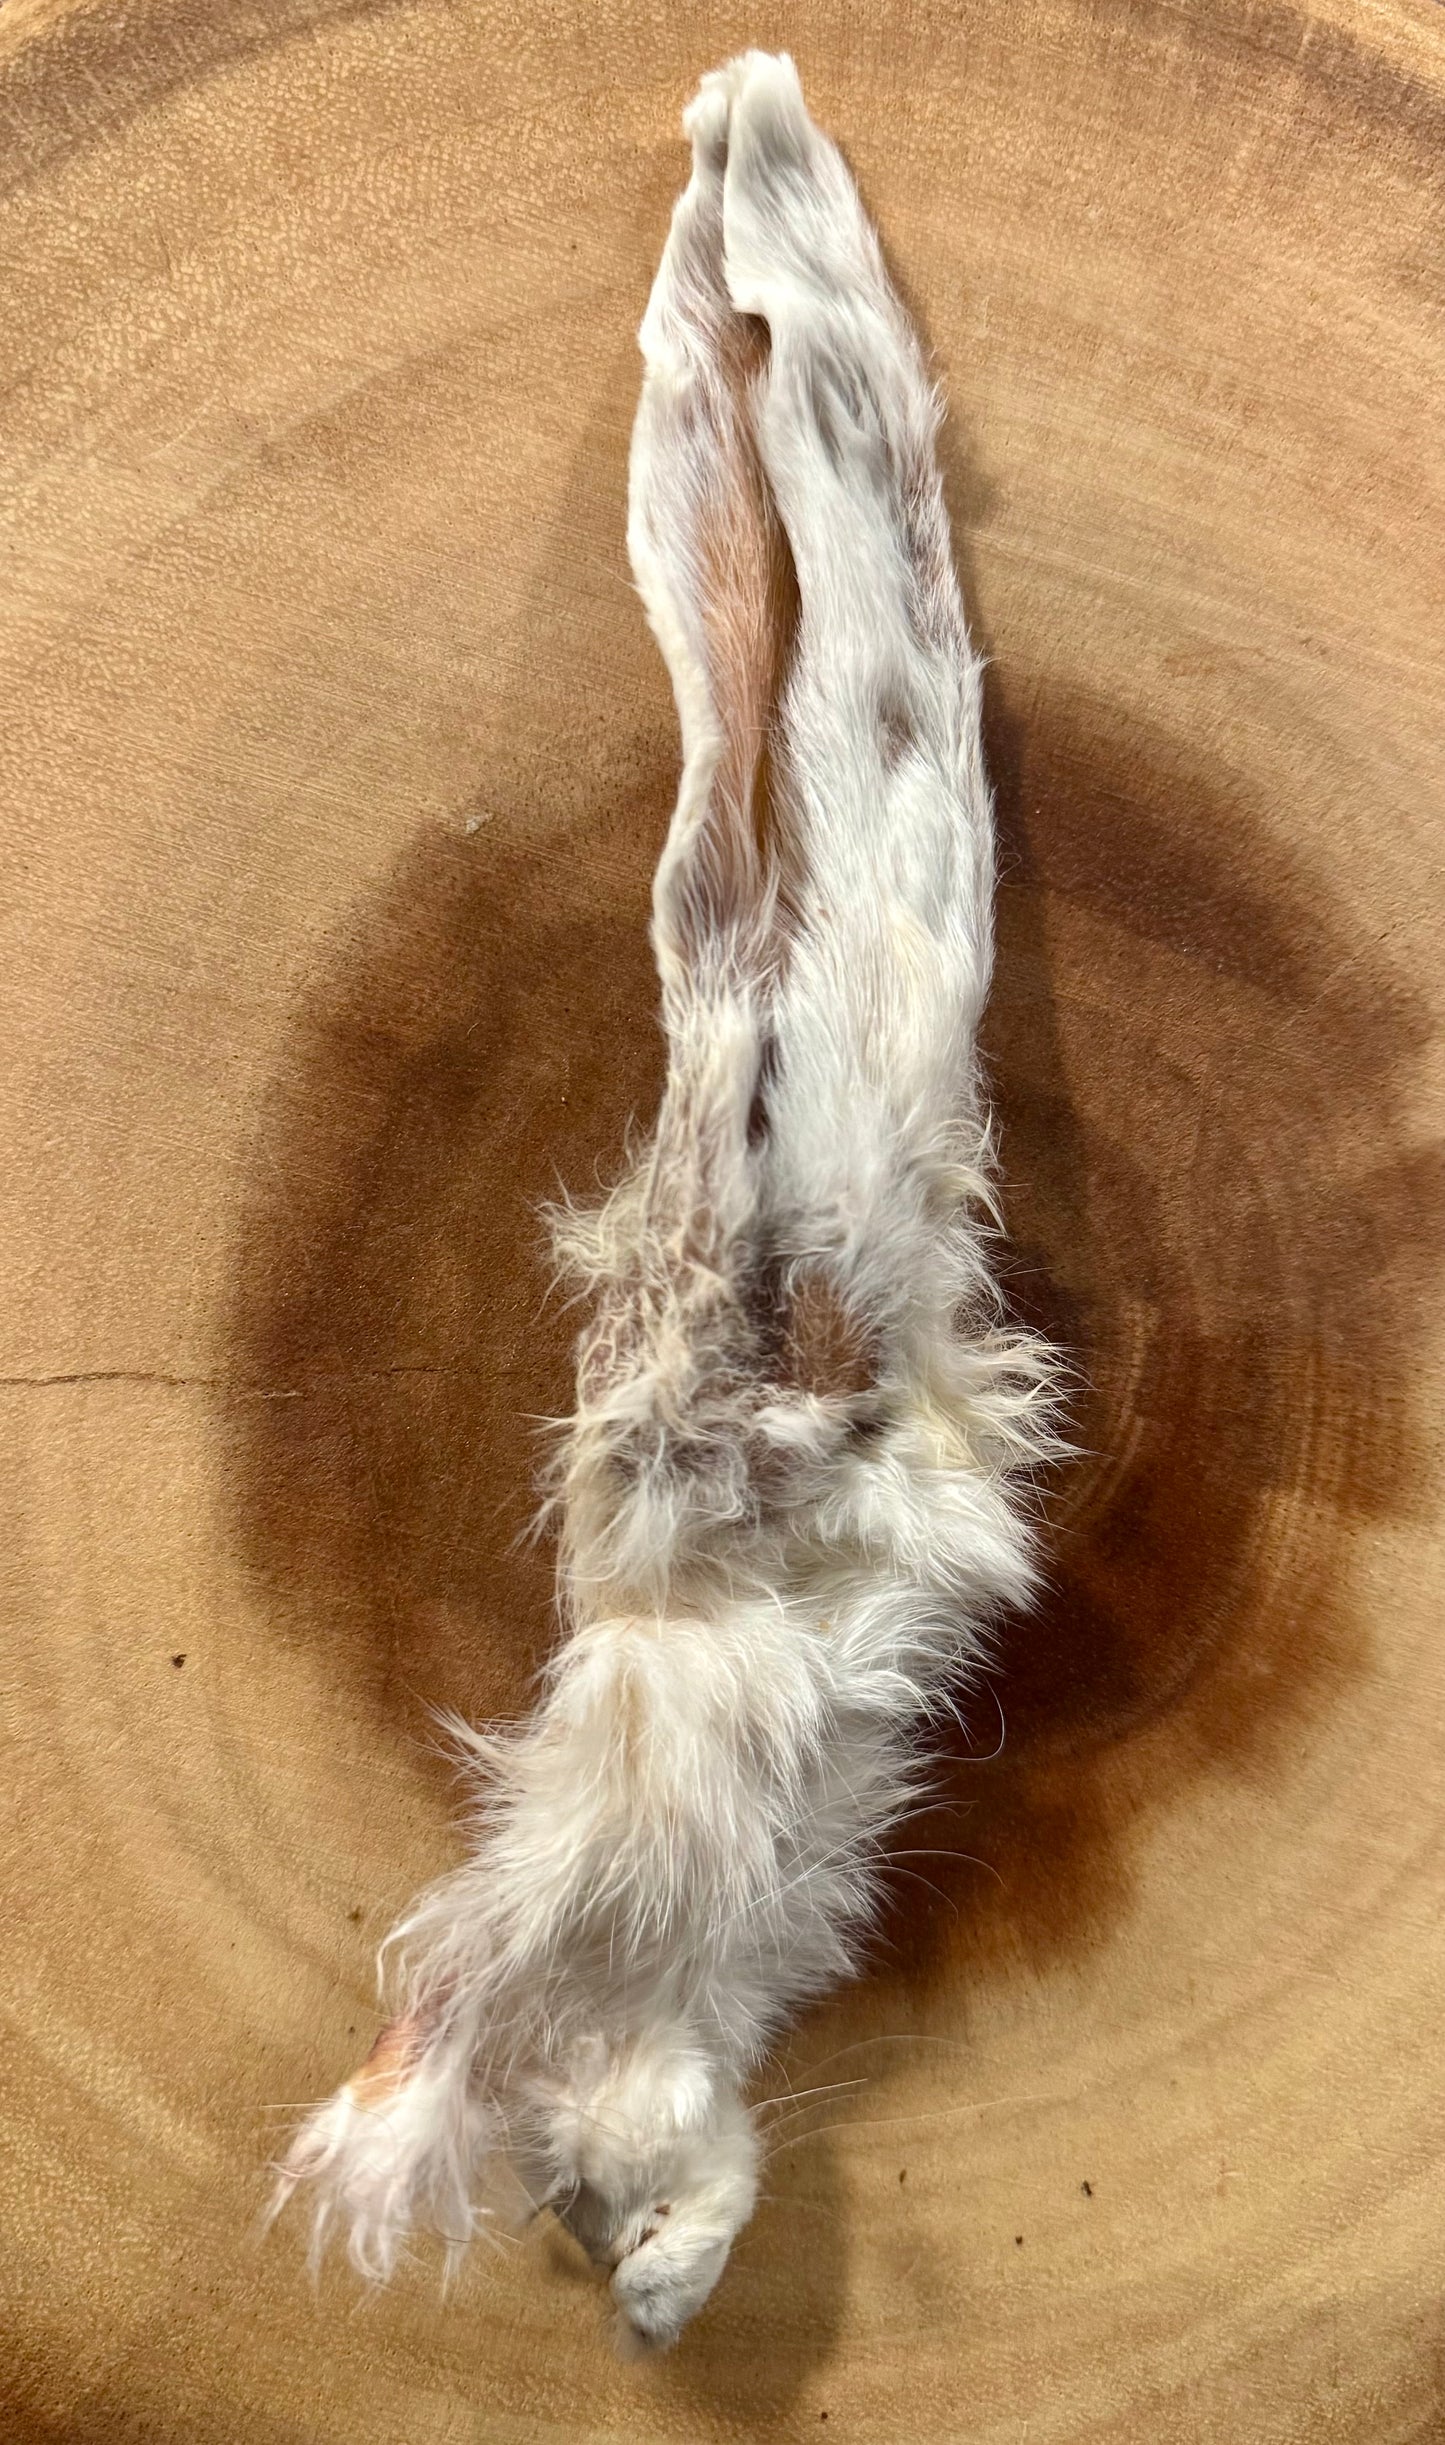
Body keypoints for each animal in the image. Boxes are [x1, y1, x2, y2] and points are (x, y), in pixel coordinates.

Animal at [269, 49, 1062, 2355]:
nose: (591, 2255)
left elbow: (543, 2081)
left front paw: (642, 2262)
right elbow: (562, 2089)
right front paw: (646, 2258)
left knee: (758, 761)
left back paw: (747, 155)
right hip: (787, 1094)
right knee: (766, 758)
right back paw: (754, 155)